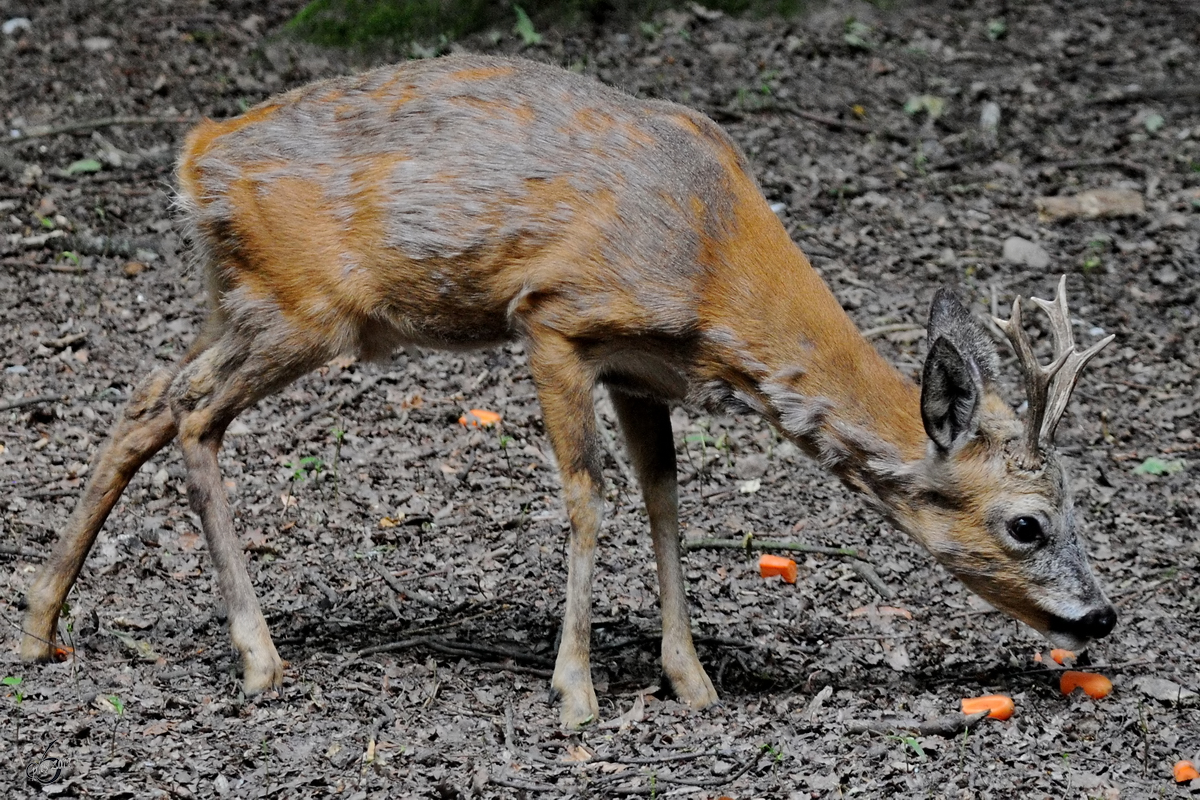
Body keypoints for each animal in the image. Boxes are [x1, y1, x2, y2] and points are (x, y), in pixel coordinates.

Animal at [16, 53, 1113, 729]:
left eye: (1080, 506)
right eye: (1026, 522)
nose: (1100, 617)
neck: (713, 267)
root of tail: (197, 152)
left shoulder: (643, 366)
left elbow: (665, 497)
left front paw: (692, 680)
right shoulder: (554, 317)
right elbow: (587, 495)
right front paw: (577, 691)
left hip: (239, 296)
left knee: (147, 392)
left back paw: (39, 625)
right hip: (304, 307)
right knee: (193, 413)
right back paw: (256, 653)